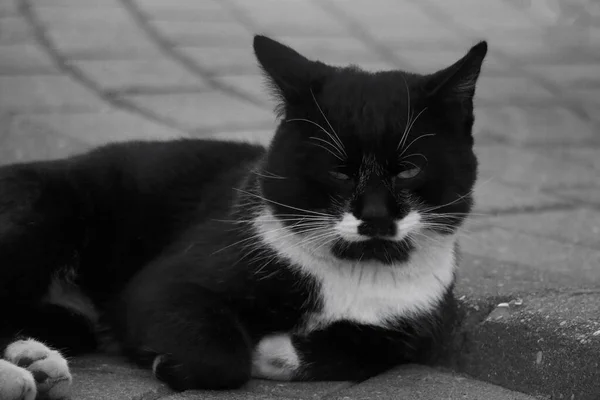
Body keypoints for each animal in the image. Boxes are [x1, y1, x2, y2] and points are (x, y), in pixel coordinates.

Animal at [0, 35, 488, 400]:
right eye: (338, 171)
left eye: (409, 170)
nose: (375, 216)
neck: (353, 268)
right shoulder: (167, 282)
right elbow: (221, 357)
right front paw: (168, 361)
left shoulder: (410, 327)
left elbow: (366, 349)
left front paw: (272, 350)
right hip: (43, 212)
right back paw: (22, 372)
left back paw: (35, 360)